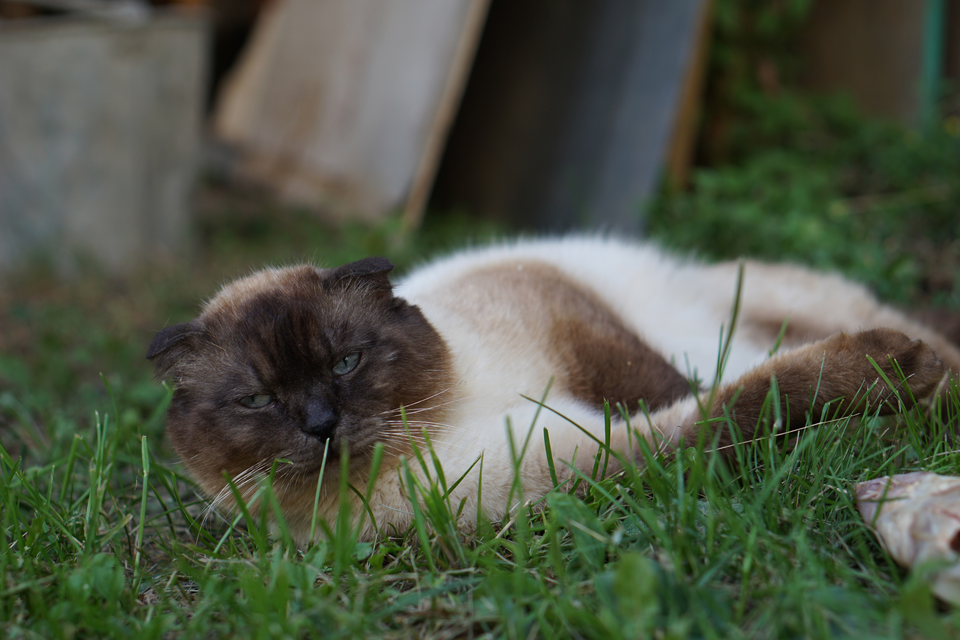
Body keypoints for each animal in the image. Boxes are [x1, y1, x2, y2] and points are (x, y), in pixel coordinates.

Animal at [146, 238, 956, 544]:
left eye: (346, 363)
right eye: (256, 402)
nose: (319, 424)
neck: (442, 436)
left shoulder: (567, 320)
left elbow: (685, 386)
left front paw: (894, 379)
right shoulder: (604, 461)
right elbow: (735, 409)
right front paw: (886, 385)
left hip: (755, 303)